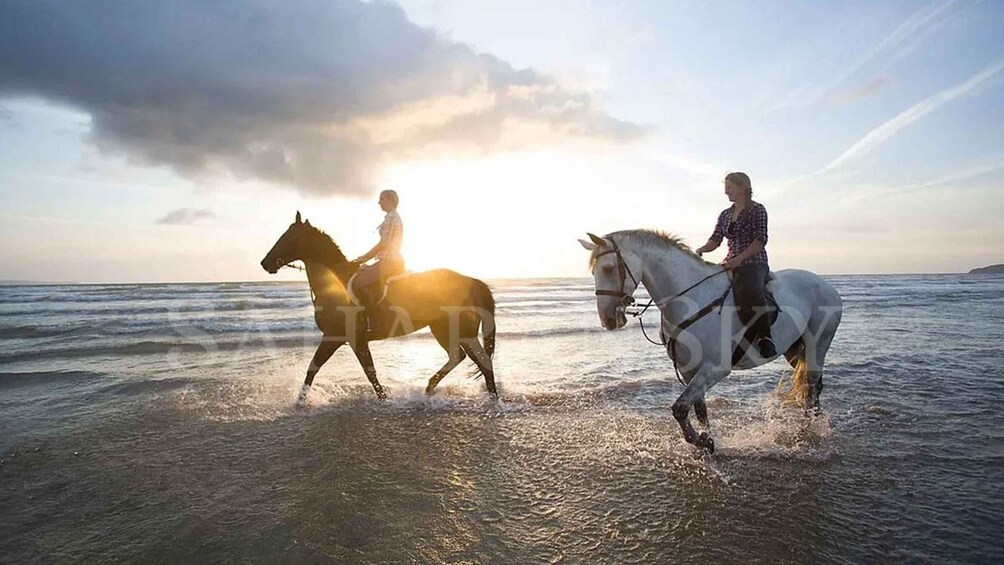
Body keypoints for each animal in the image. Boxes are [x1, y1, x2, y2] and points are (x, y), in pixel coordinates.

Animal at [257, 210, 495, 401]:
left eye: (288, 238)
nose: (265, 263)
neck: (335, 285)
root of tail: (471, 281)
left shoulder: (347, 338)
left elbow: (365, 372)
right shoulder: (339, 338)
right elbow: (317, 369)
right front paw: (299, 402)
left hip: (462, 331)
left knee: (482, 361)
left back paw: (493, 401)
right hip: (442, 328)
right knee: (458, 356)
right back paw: (430, 387)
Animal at [578, 228, 843, 451]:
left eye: (608, 268)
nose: (607, 320)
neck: (691, 300)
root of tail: (827, 285)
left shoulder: (714, 369)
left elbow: (679, 408)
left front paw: (698, 439)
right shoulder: (690, 371)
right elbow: (698, 408)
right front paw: (706, 438)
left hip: (817, 344)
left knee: (811, 386)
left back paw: (810, 429)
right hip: (793, 350)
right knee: (810, 386)